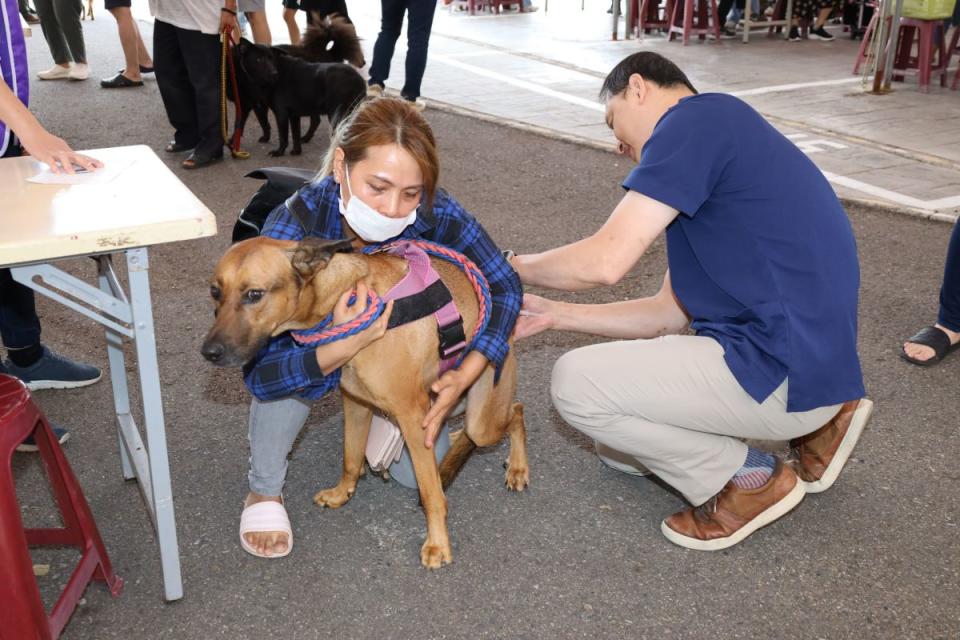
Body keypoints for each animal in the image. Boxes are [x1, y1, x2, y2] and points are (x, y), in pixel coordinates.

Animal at [202, 238, 528, 568]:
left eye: (254, 294)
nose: (209, 352)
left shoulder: (413, 418)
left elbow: (431, 494)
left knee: (516, 411)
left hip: (481, 419)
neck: (340, 300)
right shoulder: (356, 404)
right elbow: (351, 456)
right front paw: (342, 492)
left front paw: (437, 543)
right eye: (215, 291)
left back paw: (517, 468)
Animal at [234, 39, 366, 157]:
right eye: (259, 59)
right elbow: (295, 135)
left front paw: (279, 152)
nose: (274, 73)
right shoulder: (294, 115)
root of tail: (359, 80)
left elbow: (283, 136)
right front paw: (296, 152)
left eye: (271, 58)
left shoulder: (281, 113)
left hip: (337, 116)